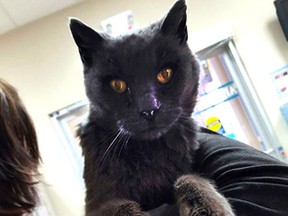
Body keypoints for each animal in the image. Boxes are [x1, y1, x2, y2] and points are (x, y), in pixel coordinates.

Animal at [69, 0, 234, 215]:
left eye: (165, 73)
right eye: (117, 84)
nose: (149, 109)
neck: (150, 151)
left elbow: (187, 178)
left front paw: (209, 208)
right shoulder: (97, 204)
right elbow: (121, 205)